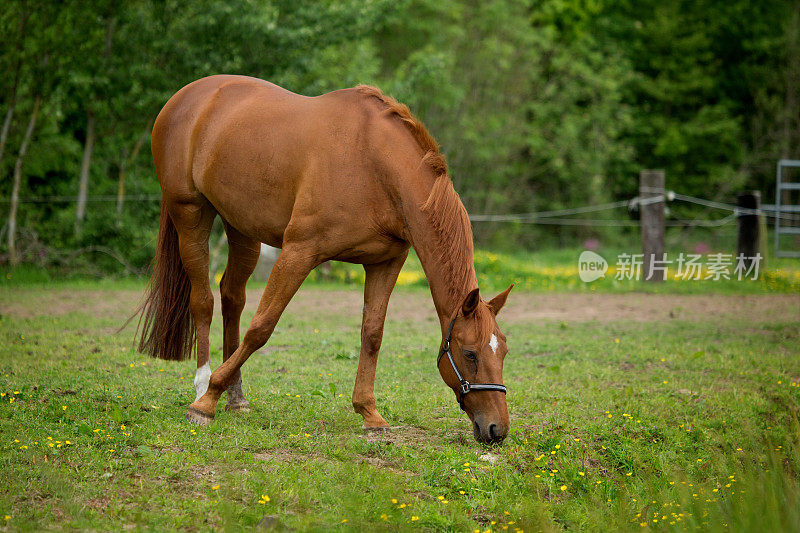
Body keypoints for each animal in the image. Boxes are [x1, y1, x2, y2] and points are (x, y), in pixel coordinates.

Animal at [138, 72, 512, 442]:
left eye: (504, 351)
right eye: (469, 353)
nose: (497, 429)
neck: (375, 165)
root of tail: (189, 95)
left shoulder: (385, 263)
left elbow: (372, 334)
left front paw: (369, 413)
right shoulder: (298, 252)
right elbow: (262, 327)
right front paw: (205, 405)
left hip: (241, 227)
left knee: (232, 298)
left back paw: (236, 397)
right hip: (190, 214)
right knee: (203, 301)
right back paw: (204, 387)